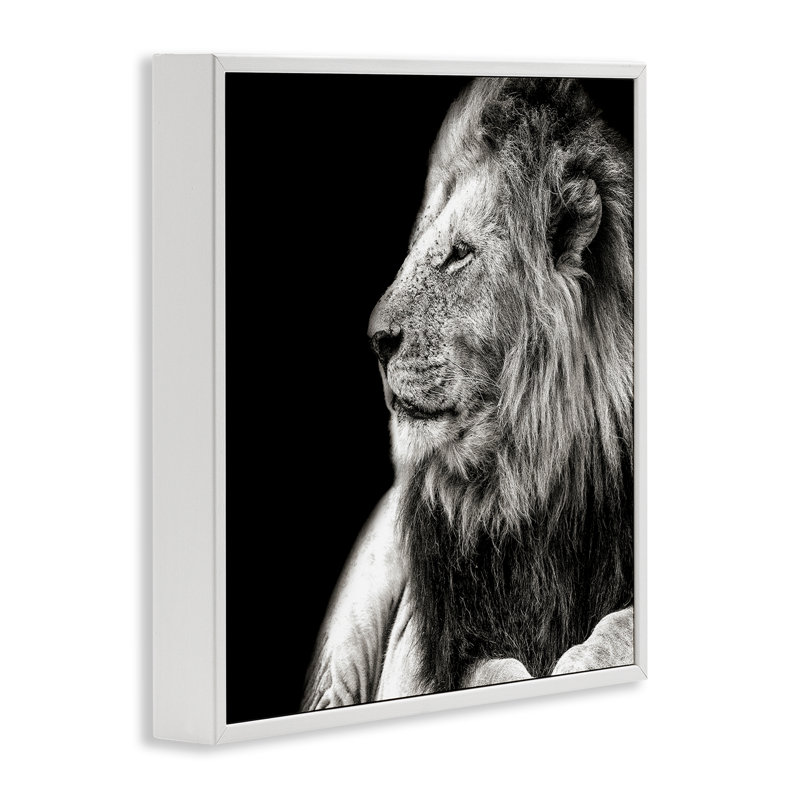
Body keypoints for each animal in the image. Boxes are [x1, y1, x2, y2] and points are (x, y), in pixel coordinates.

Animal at [302, 77, 634, 711]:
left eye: (459, 253)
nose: (375, 340)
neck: (526, 480)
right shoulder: (439, 648)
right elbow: (490, 670)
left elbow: (620, 623)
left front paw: (581, 656)